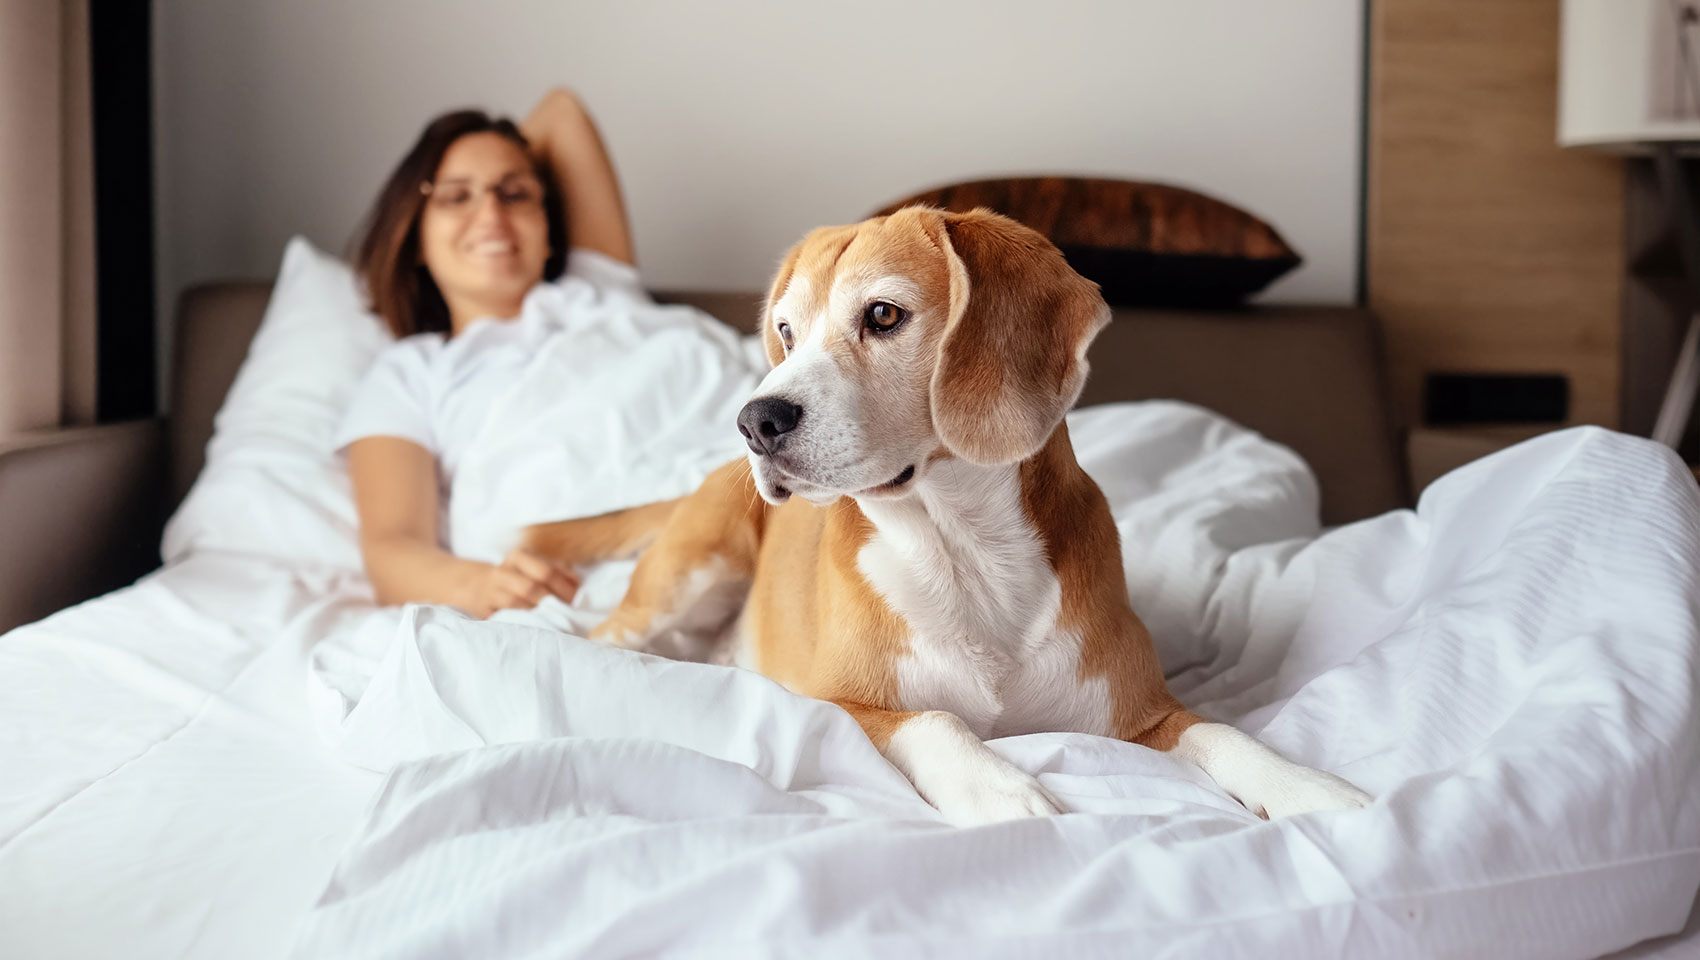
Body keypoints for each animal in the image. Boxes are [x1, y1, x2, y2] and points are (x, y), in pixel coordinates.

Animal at [523, 209, 1373, 822]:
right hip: (687, 575)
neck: (963, 547)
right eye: (787, 332)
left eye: (883, 316)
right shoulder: (839, 704)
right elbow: (935, 721)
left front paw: (1307, 787)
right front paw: (998, 788)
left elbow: (1225, 731)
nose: (754, 421)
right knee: (601, 636)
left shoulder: (1144, 715)